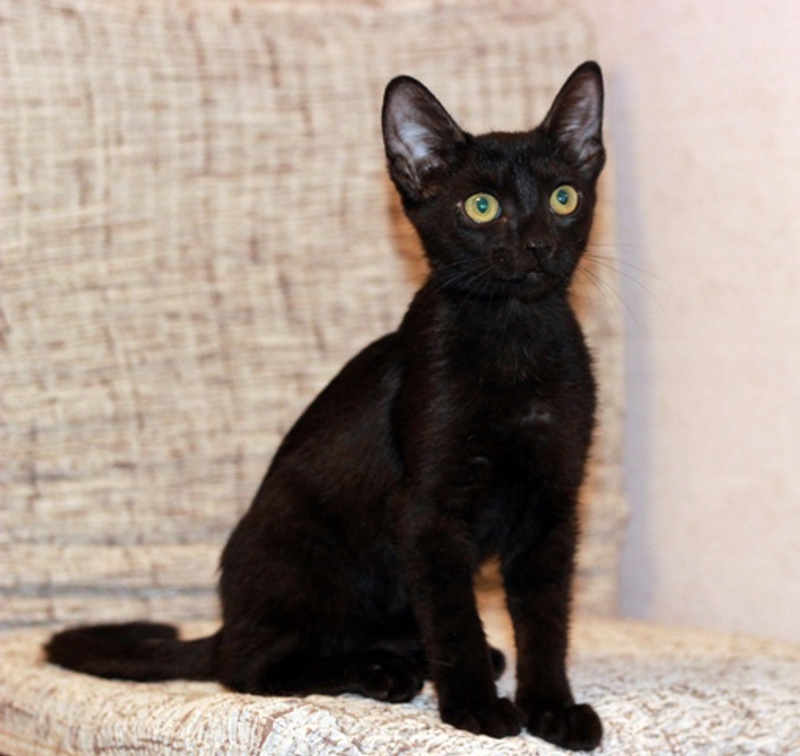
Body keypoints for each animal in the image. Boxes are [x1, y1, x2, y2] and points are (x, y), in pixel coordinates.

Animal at [47, 61, 606, 751]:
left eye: (563, 198)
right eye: (481, 207)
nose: (535, 246)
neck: (515, 341)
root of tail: (228, 620)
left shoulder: (554, 503)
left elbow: (546, 617)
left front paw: (552, 708)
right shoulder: (429, 512)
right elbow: (455, 617)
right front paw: (474, 706)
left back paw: (414, 653)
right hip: (306, 550)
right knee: (248, 665)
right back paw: (382, 669)